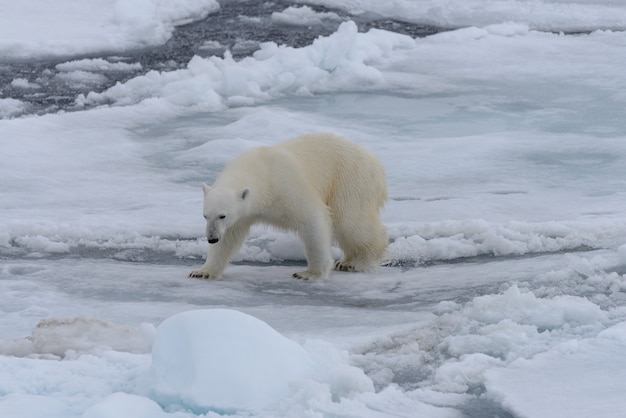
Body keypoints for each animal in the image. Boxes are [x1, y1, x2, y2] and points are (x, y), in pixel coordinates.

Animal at [188, 134, 388, 280]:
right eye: (205, 216)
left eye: (222, 215)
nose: (211, 238)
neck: (262, 172)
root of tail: (376, 164)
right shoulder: (242, 214)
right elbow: (229, 238)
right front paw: (201, 272)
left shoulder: (286, 185)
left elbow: (313, 220)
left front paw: (309, 273)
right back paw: (346, 261)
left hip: (350, 180)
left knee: (351, 222)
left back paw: (359, 262)